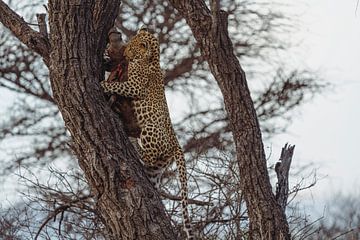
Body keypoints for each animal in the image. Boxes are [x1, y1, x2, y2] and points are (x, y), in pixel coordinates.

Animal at [100, 27, 195, 239]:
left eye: (132, 47)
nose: (126, 55)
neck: (153, 58)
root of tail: (177, 144)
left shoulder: (134, 85)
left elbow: (118, 85)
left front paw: (103, 85)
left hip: (150, 129)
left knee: (147, 155)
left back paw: (136, 147)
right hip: (158, 167)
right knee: (153, 174)